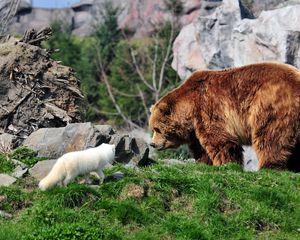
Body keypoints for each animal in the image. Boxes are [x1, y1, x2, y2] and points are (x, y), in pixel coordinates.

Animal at [149, 62, 298, 171]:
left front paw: (226, 164)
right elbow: (201, 148)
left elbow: (220, 139)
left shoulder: (207, 107)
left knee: (270, 137)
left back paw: (269, 166)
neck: (189, 107)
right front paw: (205, 162)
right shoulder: (196, 126)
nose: (152, 144)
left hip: (269, 105)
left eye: (157, 129)